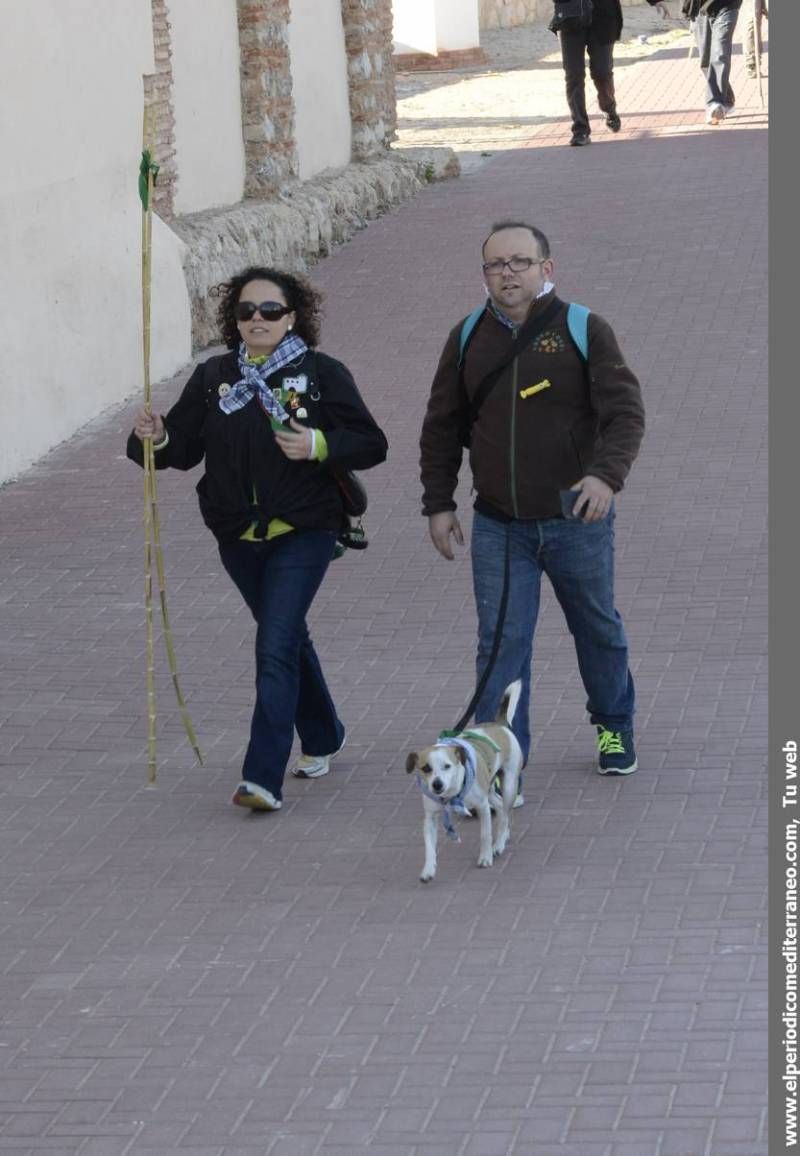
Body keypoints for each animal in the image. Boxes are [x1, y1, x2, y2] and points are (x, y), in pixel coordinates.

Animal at [406, 679, 524, 878]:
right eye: (426, 768)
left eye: (447, 766)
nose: (437, 785)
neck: (451, 795)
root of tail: (499, 723)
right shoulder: (430, 818)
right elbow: (429, 847)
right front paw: (428, 869)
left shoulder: (483, 807)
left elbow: (485, 835)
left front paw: (485, 858)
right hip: (489, 789)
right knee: (500, 806)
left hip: (508, 785)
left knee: (505, 815)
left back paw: (499, 843)